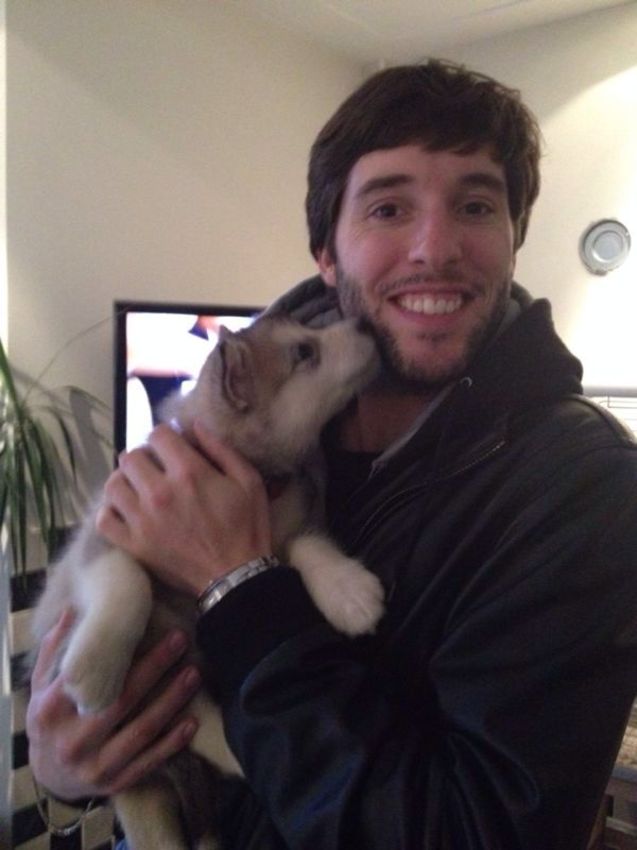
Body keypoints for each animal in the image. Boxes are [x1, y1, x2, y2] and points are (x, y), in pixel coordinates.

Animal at [31, 313, 384, 849]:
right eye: (305, 351)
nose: (364, 322)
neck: (259, 479)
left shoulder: (287, 531)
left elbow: (308, 548)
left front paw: (349, 593)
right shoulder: (103, 537)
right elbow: (129, 581)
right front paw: (94, 669)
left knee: (193, 719)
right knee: (185, 715)